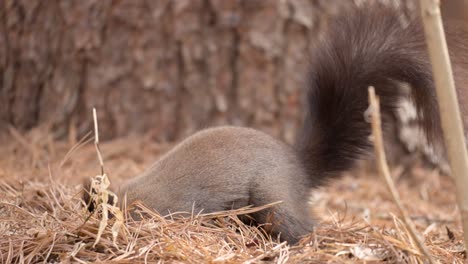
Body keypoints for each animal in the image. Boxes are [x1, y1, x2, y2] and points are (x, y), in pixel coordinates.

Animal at [83, 4, 468, 243]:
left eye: (99, 212)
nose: (86, 228)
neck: (135, 195)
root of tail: (298, 167)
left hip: (273, 199)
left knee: (301, 226)